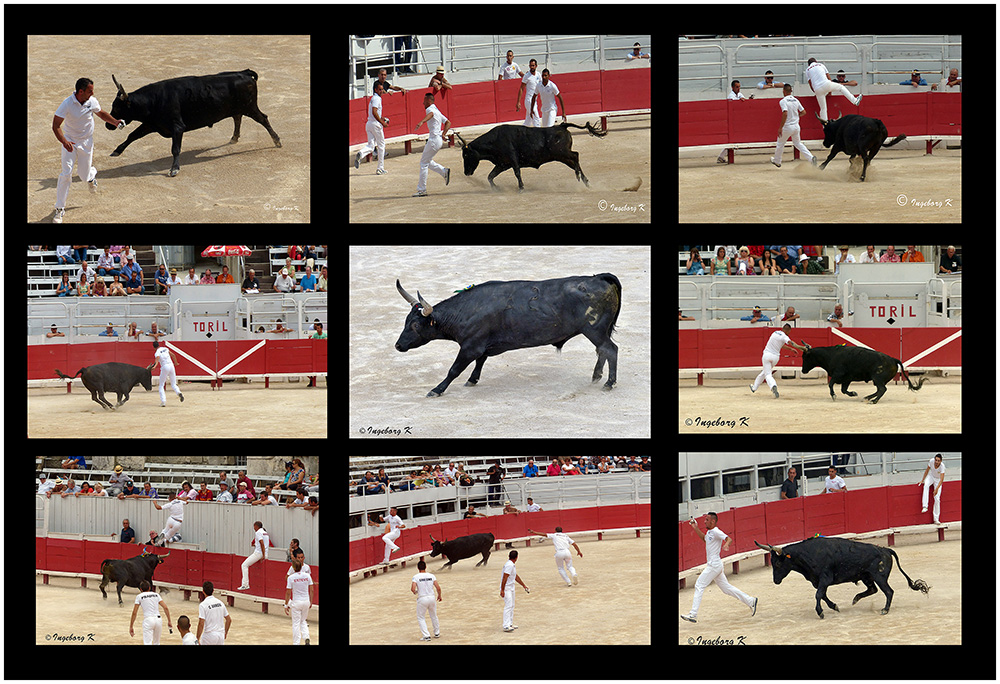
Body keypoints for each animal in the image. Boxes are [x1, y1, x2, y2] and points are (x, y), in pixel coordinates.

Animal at [105, 69, 282, 176]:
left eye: (117, 107)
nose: (107, 124)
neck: (154, 100)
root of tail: (244, 73)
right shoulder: (151, 124)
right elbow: (132, 135)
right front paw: (117, 151)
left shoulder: (177, 128)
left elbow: (175, 148)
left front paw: (174, 169)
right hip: (237, 108)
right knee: (237, 117)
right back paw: (234, 138)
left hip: (250, 107)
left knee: (263, 119)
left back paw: (276, 141)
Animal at [394, 276, 620, 398]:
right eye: (405, 320)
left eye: (415, 325)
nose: (397, 346)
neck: (465, 311)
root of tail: (598, 277)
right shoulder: (481, 346)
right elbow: (480, 361)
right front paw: (472, 380)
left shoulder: (470, 347)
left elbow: (454, 369)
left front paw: (437, 389)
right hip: (597, 332)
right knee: (602, 351)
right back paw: (596, 376)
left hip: (594, 330)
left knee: (610, 349)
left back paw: (609, 383)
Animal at [456, 121, 608, 191]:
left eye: (466, 155)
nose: (466, 172)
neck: (494, 141)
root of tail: (562, 126)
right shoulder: (502, 164)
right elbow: (490, 176)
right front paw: (496, 189)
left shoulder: (513, 160)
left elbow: (517, 173)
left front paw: (521, 188)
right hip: (562, 157)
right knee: (575, 161)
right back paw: (586, 182)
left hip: (561, 153)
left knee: (576, 156)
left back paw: (579, 177)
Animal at [756, 540, 928, 620]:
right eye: (772, 563)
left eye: (778, 563)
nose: (776, 581)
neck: (809, 553)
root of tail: (885, 549)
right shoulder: (818, 582)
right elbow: (823, 595)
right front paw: (834, 606)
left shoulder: (825, 579)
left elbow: (818, 595)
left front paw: (820, 612)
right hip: (866, 576)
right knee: (873, 589)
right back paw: (855, 599)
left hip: (879, 577)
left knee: (888, 591)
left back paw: (885, 610)